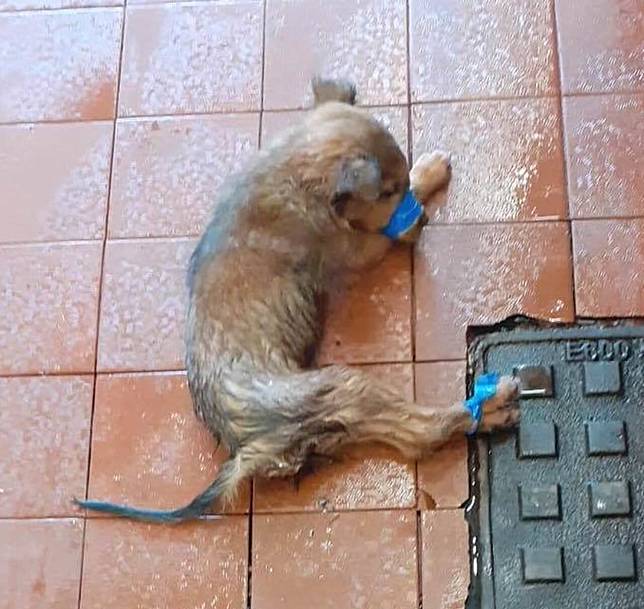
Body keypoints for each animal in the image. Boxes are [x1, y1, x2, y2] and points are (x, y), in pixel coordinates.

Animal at [76, 78, 519, 522]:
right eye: (387, 191)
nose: (423, 220)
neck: (292, 173)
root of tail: (248, 450)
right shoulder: (350, 248)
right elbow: (382, 233)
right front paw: (420, 193)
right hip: (341, 387)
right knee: (420, 432)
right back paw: (489, 408)